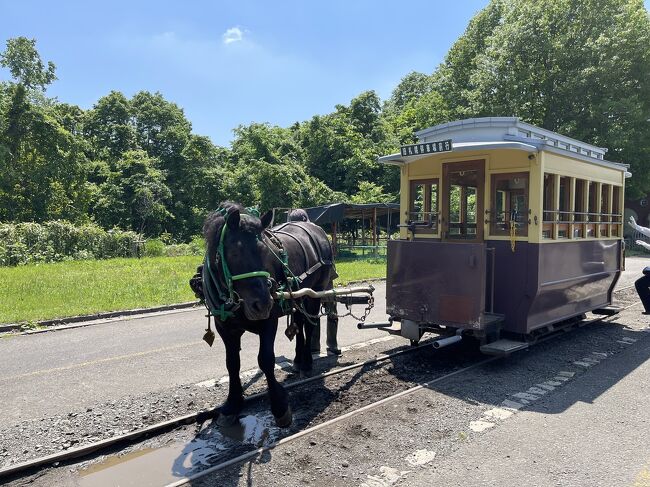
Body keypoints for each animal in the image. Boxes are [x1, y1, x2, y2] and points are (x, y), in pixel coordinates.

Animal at [191, 202, 334, 428]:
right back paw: (298, 359)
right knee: (300, 324)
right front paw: (232, 403)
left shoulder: (269, 320)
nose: (262, 303)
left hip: (315, 292)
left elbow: (266, 359)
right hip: (298, 296)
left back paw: (307, 363)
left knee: (309, 325)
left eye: (266, 252)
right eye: (234, 252)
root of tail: (315, 228)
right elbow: (232, 363)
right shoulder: (225, 327)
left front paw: (279, 406)